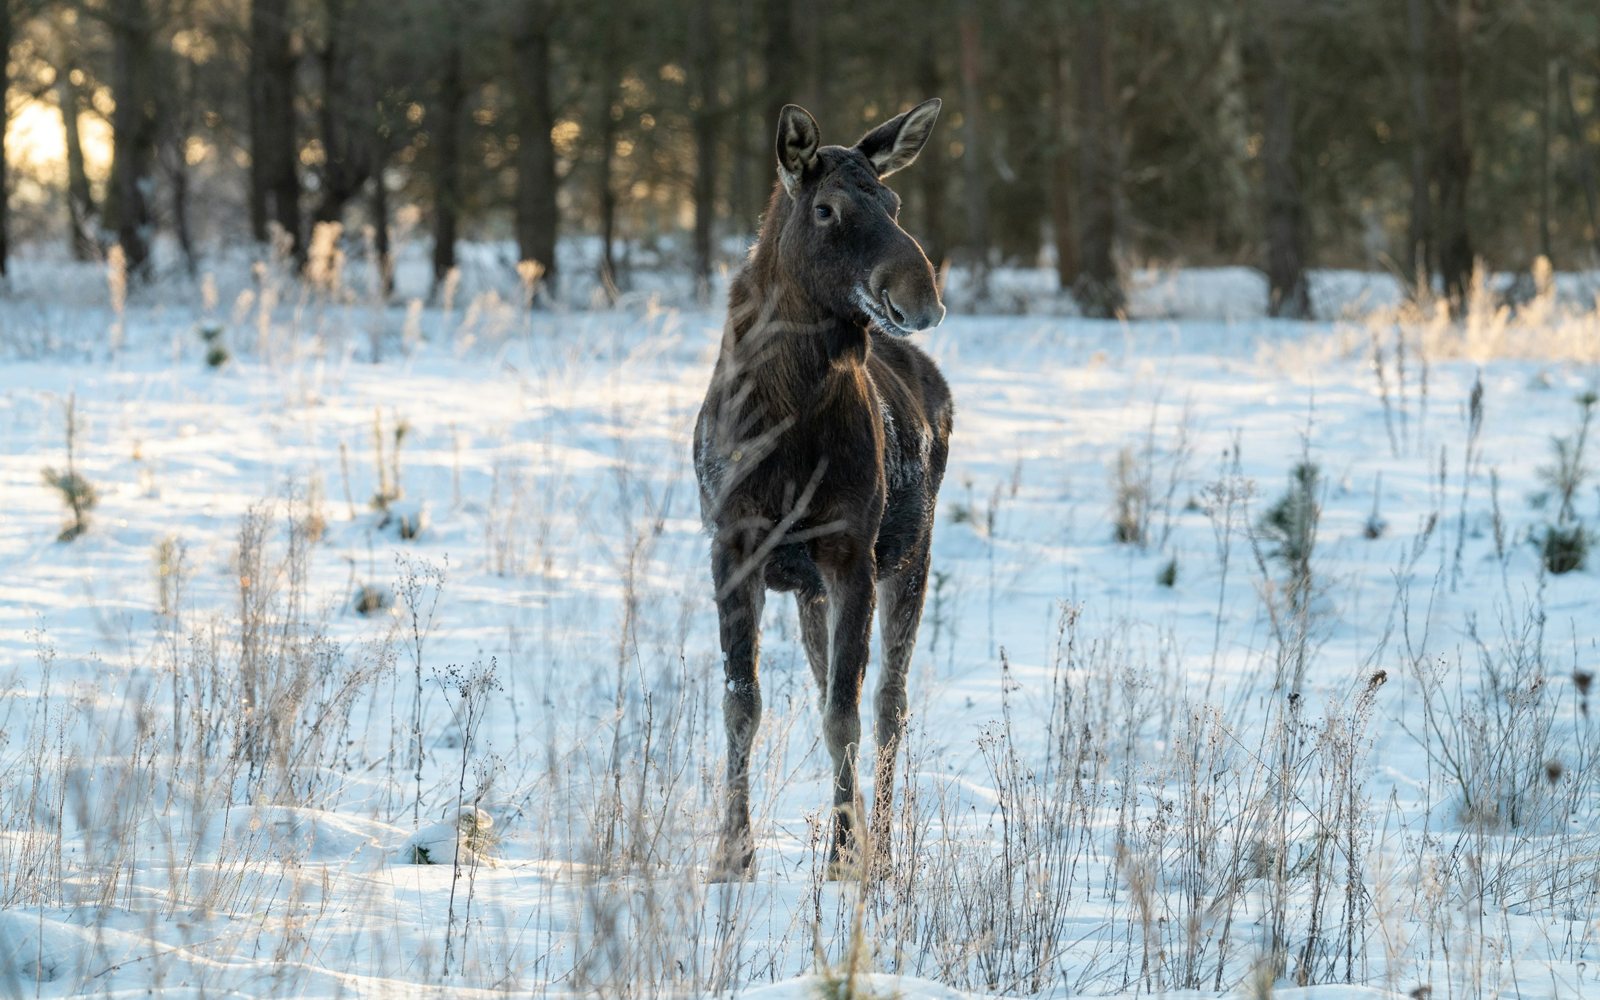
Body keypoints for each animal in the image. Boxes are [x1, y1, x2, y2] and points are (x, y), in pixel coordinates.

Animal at [693, 98, 951, 880]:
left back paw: (884, 847)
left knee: (890, 703)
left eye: (894, 202)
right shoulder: (734, 546)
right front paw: (732, 854)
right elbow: (742, 704)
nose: (922, 295)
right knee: (826, 683)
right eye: (827, 208)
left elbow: (846, 713)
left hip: (911, 557)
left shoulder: (850, 553)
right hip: (809, 589)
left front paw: (842, 858)